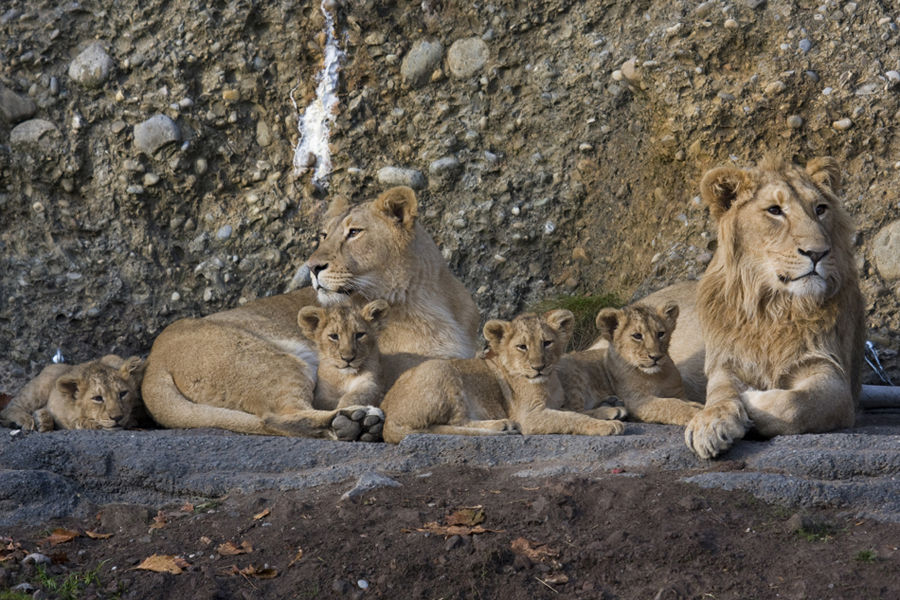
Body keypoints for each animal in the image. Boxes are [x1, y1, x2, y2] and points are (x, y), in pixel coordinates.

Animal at [1, 354, 144, 434]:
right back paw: (29, 420)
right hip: (40, 387)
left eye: (123, 393)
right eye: (98, 398)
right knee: (8, 408)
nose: (117, 417)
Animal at [142, 185, 478, 438]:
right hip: (278, 361)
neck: (426, 296)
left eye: (354, 232)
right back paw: (355, 422)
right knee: (277, 416)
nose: (312, 267)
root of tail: (153, 364)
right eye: (324, 235)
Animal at [382, 310, 624, 446]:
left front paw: (610, 411)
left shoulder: (551, 405)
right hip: (440, 367)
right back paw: (502, 425)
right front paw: (606, 425)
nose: (539, 367)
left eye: (547, 343)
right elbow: (572, 418)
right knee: (456, 423)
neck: (548, 381)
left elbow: (574, 411)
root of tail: (388, 418)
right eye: (522, 347)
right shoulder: (528, 416)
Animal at [632, 157, 864, 458]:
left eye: (820, 209)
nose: (818, 253)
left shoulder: (833, 375)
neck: (775, 307)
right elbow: (720, 394)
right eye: (775, 210)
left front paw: (750, 400)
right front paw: (710, 422)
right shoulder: (724, 364)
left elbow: (798, 404)